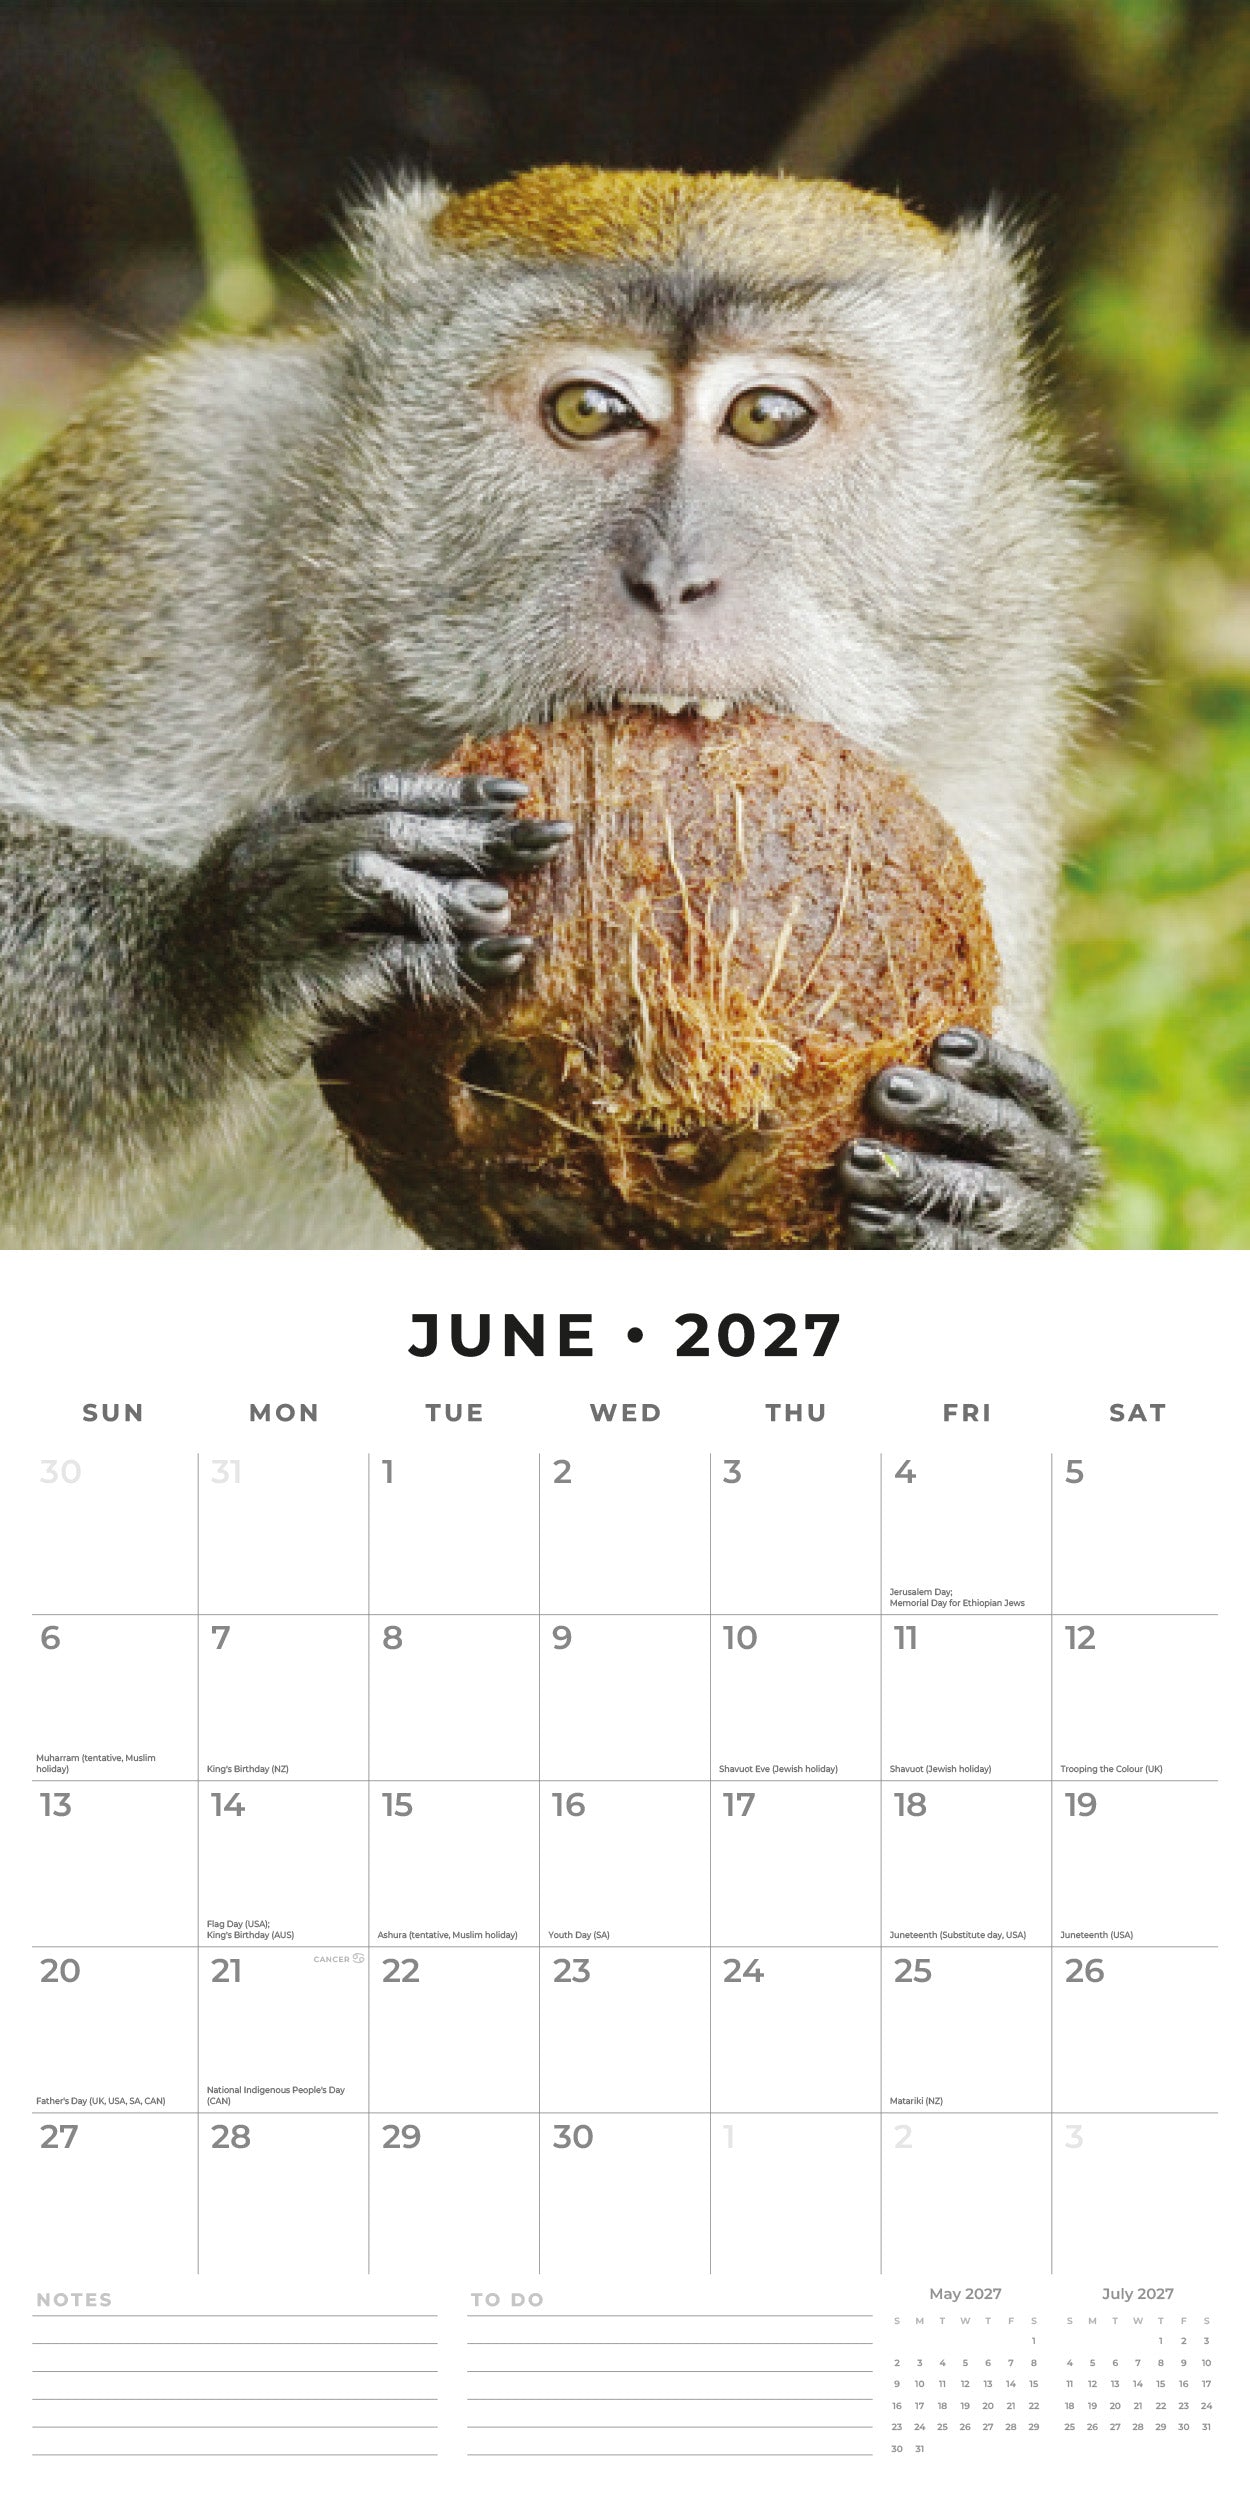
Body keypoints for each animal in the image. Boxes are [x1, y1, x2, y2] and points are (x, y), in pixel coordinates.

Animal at [0, 165, 1100, 1250]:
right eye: (588, 411)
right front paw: (227, 941)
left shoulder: (999, 709)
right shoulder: (172, 491)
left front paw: (1000, 1184)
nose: (670, 575)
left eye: (769, 418)